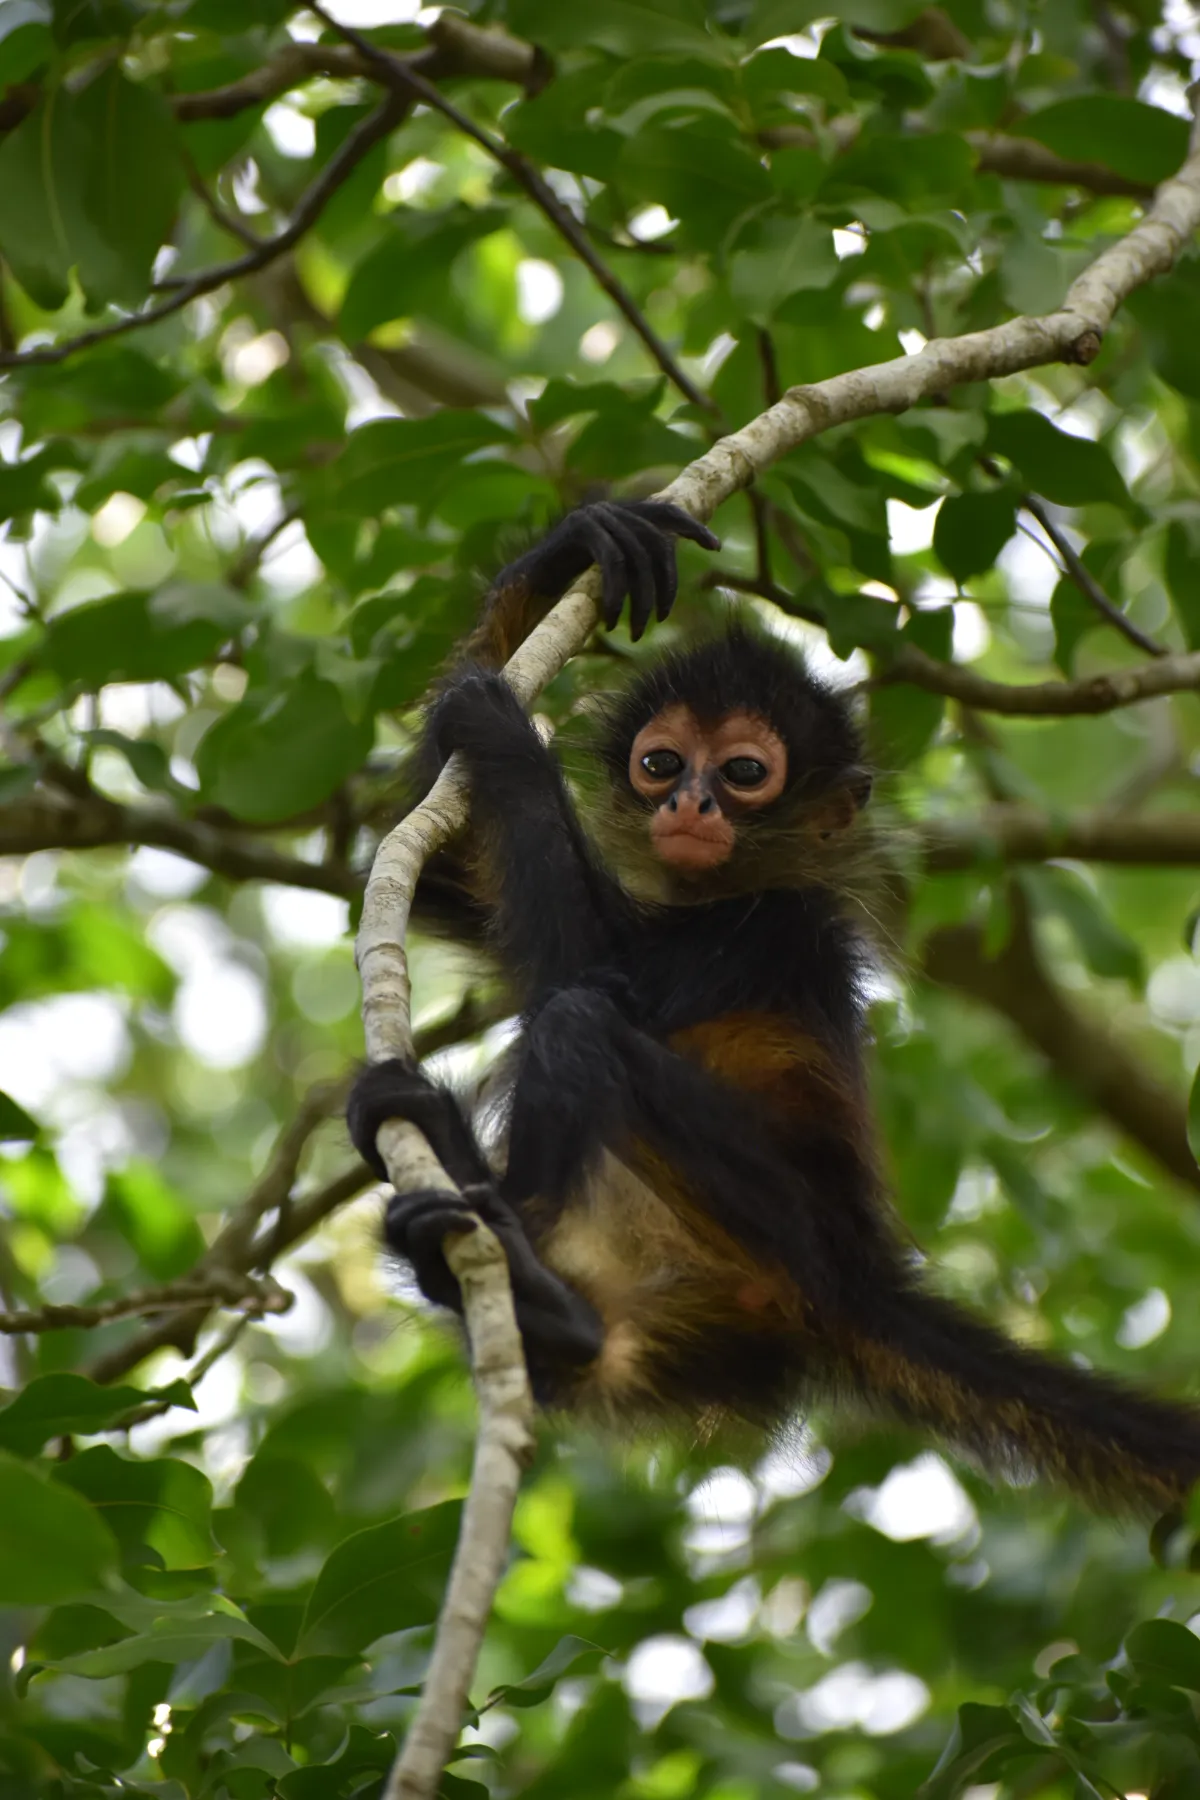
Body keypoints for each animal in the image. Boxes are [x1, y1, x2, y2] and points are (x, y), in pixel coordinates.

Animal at [349, 500, 1200, 1512]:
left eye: (745, 773)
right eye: (662, 761)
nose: (691, 803)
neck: (716, 897)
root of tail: (854, 1277)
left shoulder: (781, 927)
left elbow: (581, 972)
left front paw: (508, 736)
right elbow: (441, 876)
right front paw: (570, 546)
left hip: (778, 1224)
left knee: (577, 1023)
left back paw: (534, 1287)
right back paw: (536, 1298)